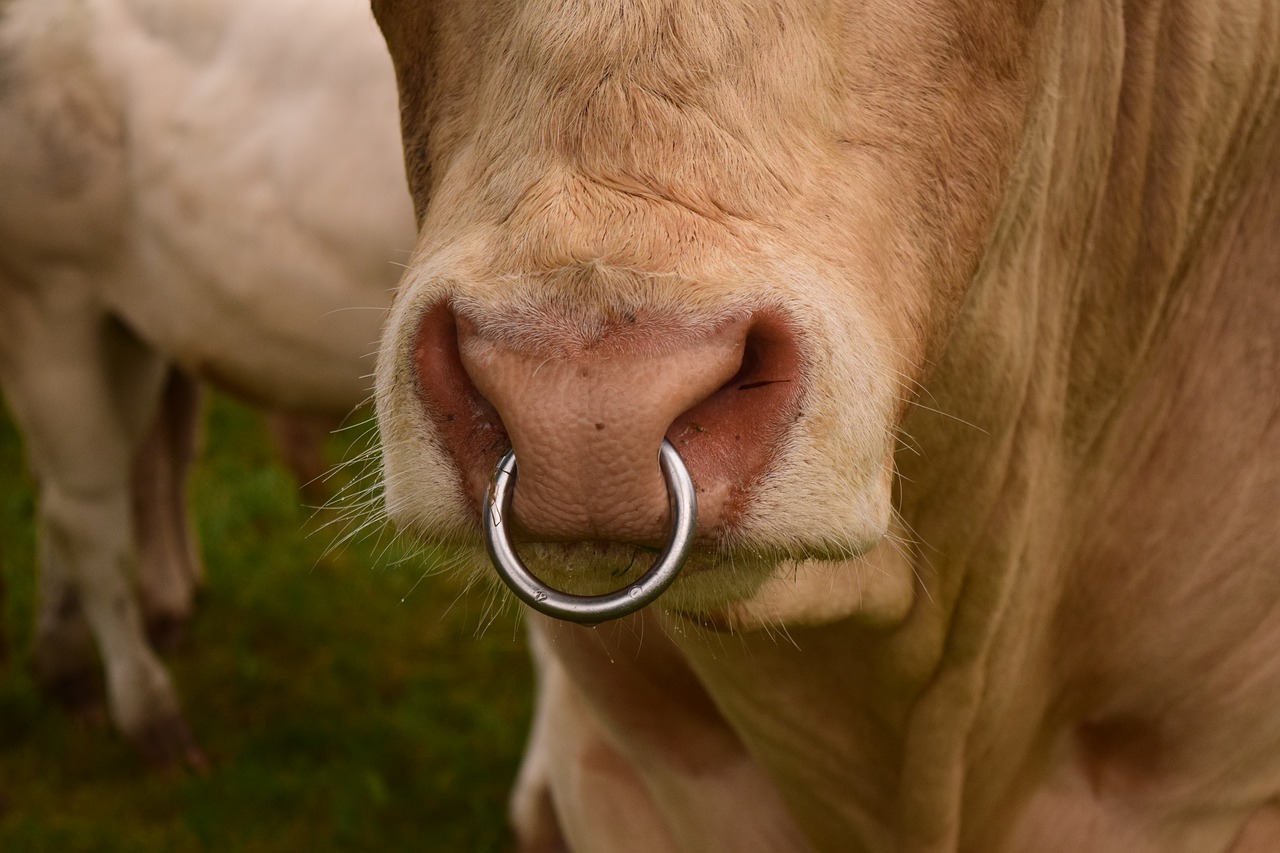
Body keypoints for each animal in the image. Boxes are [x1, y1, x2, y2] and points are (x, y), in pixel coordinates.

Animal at [0, 0, 412, 763]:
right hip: (49, 300)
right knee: (86, 511)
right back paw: (149, 711)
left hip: (131, 325)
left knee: (79, 484)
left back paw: (67, 666)